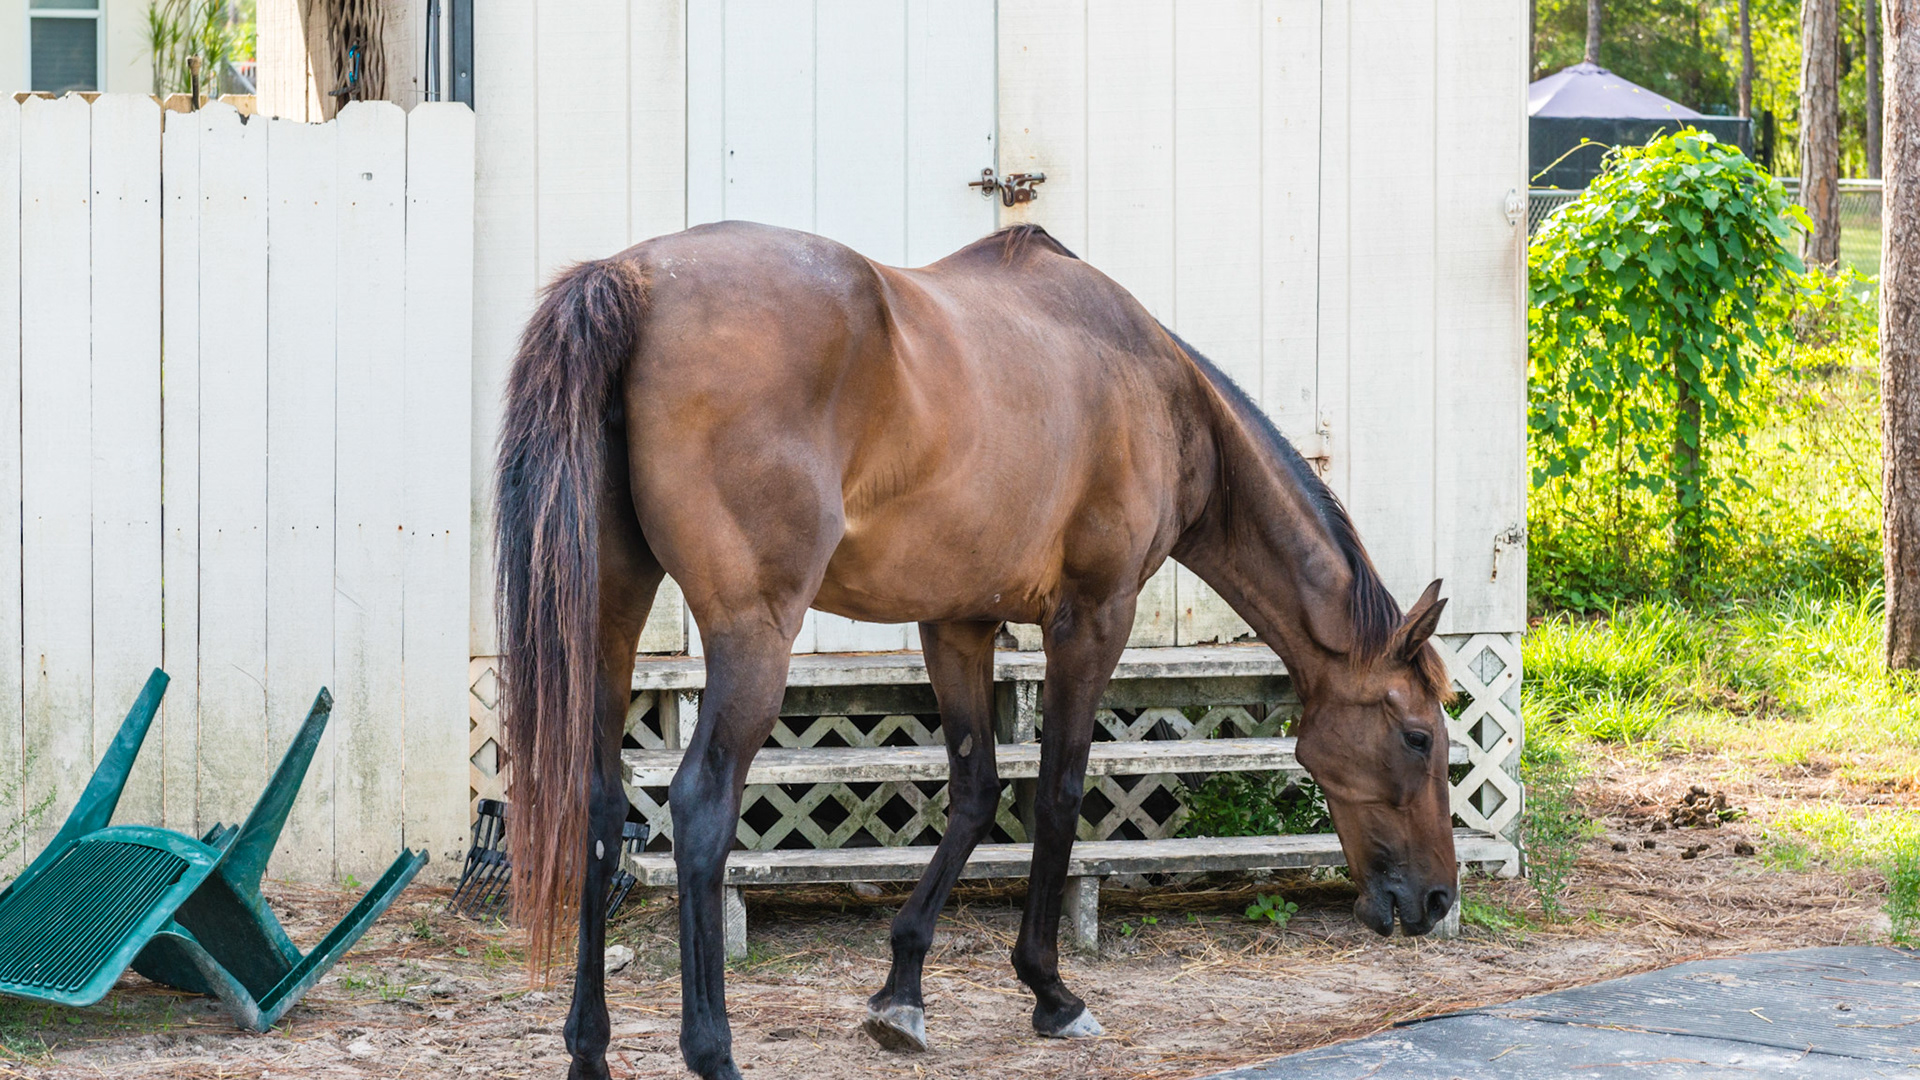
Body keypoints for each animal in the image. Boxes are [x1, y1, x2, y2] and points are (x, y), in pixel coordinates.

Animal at [494, 221, 1459, 1080]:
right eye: (1419, 737)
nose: (1438, 899)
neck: (1161, 393)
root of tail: (634, 279)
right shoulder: (1093, 617)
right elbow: (1059, 793)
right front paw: (1051, 992)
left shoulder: (956, 623)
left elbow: (975, 791)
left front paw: (902, 991)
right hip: (753, 636)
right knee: (700, 804)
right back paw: (714, 1053)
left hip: (612, 618)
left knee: (597, 805)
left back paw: (588, 1050)